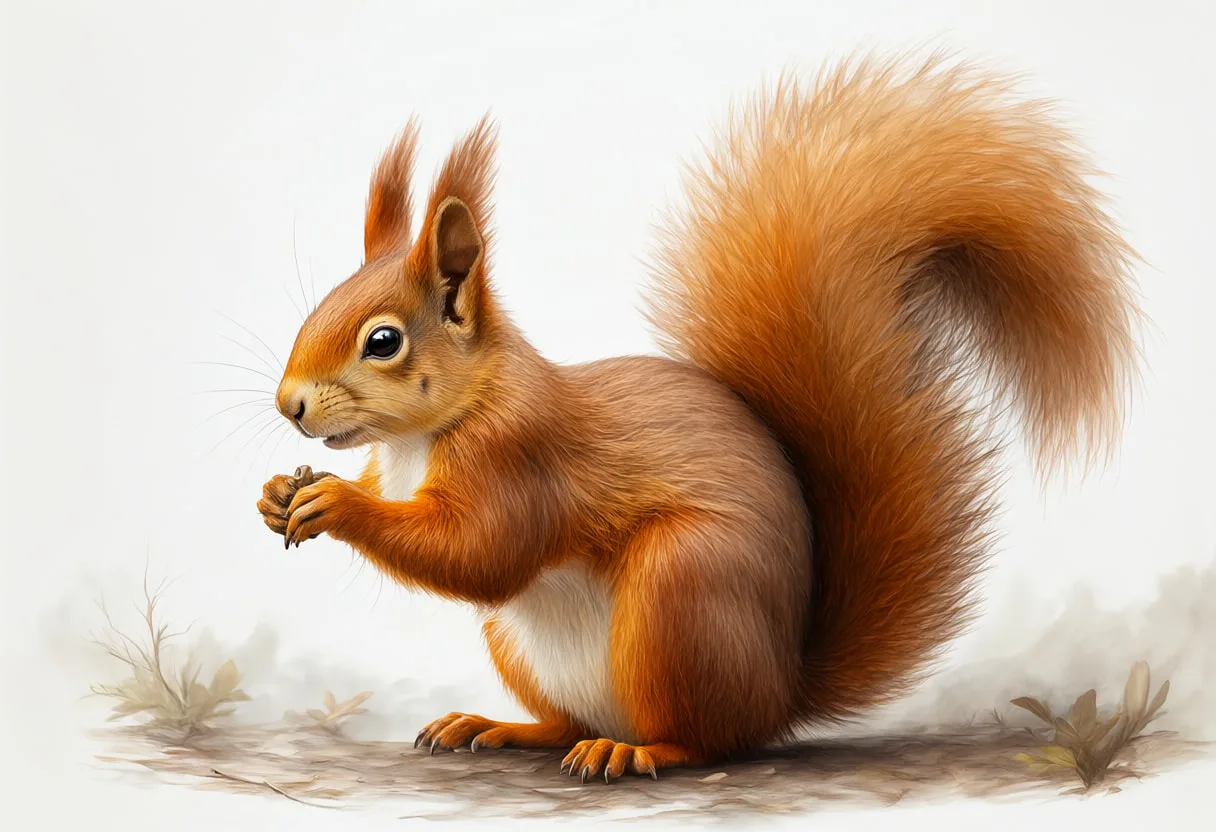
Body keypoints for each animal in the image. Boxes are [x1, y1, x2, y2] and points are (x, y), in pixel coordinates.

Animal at [256, 54, 1140, 783]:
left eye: (382, 341)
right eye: (318, 305)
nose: (289, 404)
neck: (427, 433)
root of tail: (782, 689)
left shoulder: (521, 457)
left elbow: (482, 554)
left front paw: (337, 501)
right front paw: (276, 496)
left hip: (682, 591)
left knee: (709, 739)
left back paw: (637, 750)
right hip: (528, 643)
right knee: (568, 720)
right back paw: (501, 727)